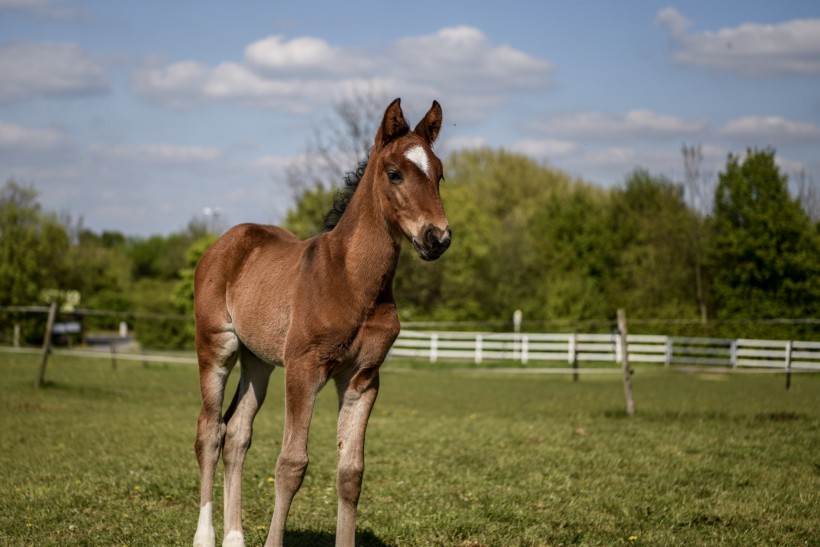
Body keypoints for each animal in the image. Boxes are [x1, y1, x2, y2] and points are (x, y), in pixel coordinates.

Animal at [192, 99, 452, 547]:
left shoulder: (362, 379)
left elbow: (351, 473)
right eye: (395, 173)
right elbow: (291, 464)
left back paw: (235, 538)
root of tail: (223, 243)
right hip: (216, 347)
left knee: (236, 434)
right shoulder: (304, 370)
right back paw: (205, 537)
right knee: (209, 432)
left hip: (258, 360)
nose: (438, 238)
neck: (353, 281)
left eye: (439, 174)